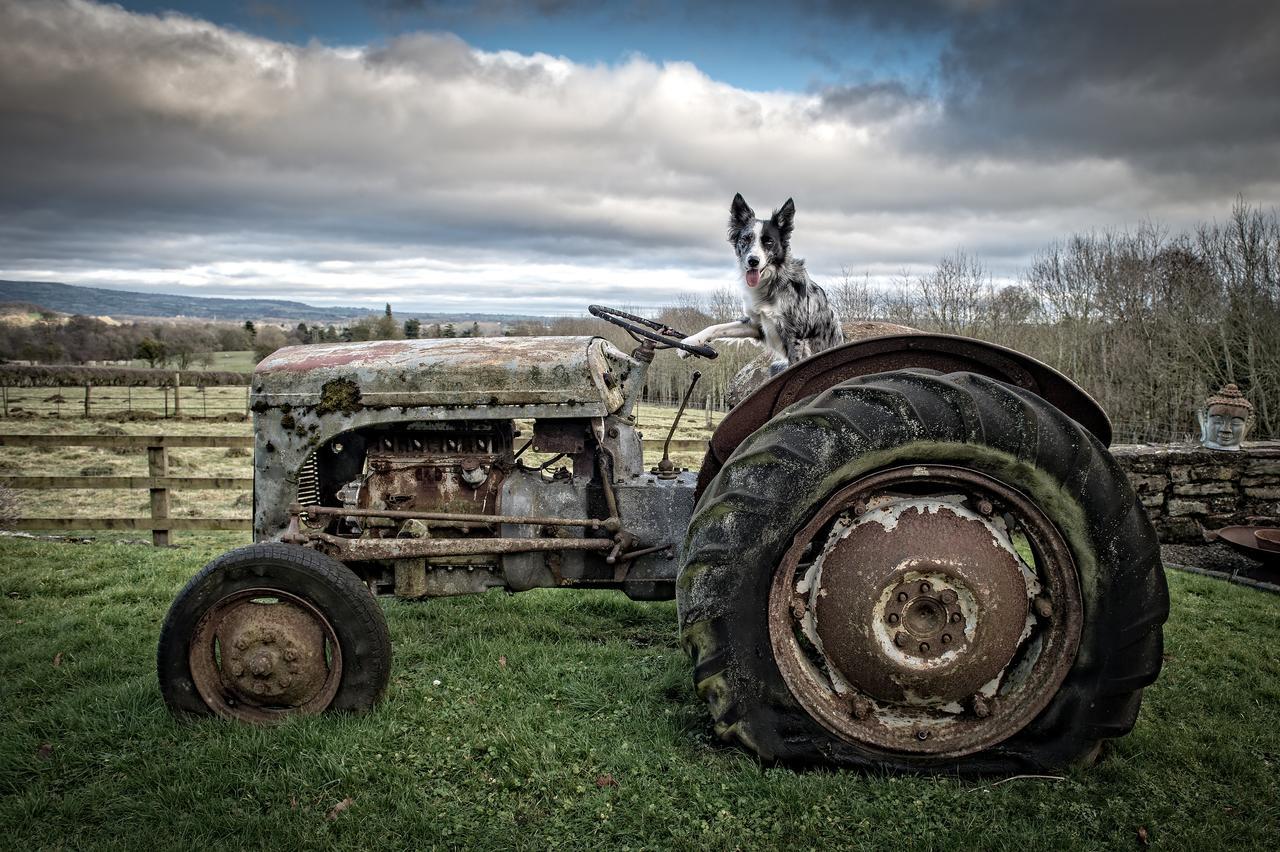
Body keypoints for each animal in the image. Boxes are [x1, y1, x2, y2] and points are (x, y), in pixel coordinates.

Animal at [675, 194, 844, 370]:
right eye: (745, 239)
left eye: (769, 241)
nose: (753, 261)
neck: (773, 282)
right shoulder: (755, 324)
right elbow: (717, 327)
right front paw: (690, 343)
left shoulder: (795, 337)